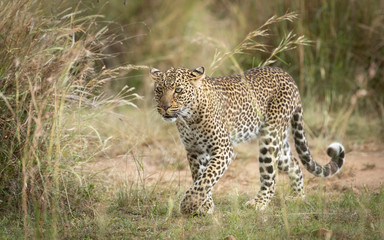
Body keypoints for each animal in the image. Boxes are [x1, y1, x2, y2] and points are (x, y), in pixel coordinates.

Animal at [150, 66, 344, 216]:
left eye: (178, 90)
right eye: (159, 89)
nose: (164, 107)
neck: (188, 118)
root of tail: (287, 75)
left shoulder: (223, 149)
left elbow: (207, 177)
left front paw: (188, 205)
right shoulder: (194, 151)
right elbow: (200, 178)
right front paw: (205, 206)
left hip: (269, 138)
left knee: (270, 176)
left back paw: (258, 203)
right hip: (280, 143)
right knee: (294, 164)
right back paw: (298, 197)